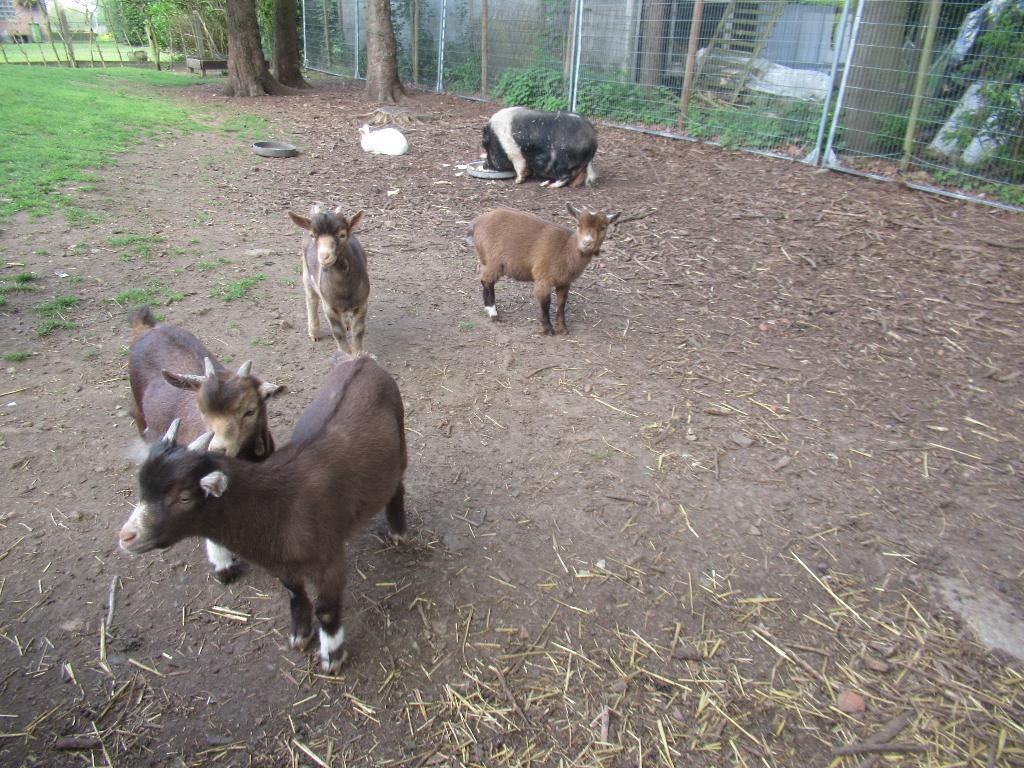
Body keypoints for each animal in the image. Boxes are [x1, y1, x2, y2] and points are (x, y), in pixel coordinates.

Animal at [119, 355, 408, 673]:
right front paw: (300, 635)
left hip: (400, 443)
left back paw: (398, 531)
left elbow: (327, 610)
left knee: (397, 485)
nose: (126, 536)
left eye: (183, 497)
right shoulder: (281, 562)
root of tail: (363, 360)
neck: (278, 504)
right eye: (142, 487)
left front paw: (332, 657)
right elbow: (294, 593)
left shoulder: (328, 560)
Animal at [128, 306, 284, 583]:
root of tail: (146, 328)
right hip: (139, 414)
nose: (218, 449)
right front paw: (224, 565)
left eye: (249, 410)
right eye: (202, 410)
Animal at [288, 205, 370, 356]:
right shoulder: (329, 306)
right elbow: (338, 333)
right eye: (313, 235)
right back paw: (314, 332)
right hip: (306, 273)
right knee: (311, 299)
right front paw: (345, 355)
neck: (344, 291)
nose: (324, 257)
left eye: (342, 235)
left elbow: (358, 331)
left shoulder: (362, 303)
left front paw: (357, 354)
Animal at [469, 204, 620, 335]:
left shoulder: (564, 282)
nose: (587, 243)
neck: (565, 249)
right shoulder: (543, 278)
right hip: (494, 261)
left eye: (603, 227)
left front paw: (562, 329)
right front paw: (548, 329)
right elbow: (545, 302)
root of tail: (477, 223)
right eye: (578, 225)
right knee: (486, 281)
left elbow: (561, 303)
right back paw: (493, 313)